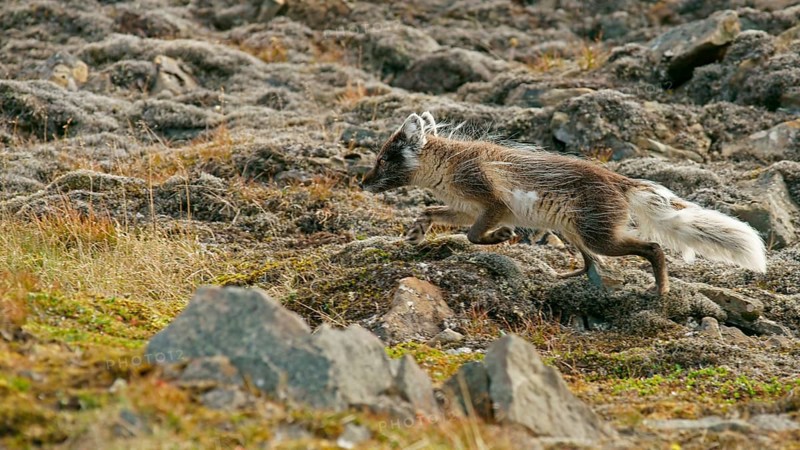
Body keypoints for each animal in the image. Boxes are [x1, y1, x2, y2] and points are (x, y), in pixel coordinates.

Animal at [360, 112, 767, 296]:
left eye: (383, 159)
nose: (361, 182)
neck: (448, 165)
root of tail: (620, 181)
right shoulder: (466, 206)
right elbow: (432, 211)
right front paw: (416, 231)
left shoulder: (491, 201)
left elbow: (476, 235)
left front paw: (500, 237)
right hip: (574, 232)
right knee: (591, 263)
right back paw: (564, 277)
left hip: (599, 234)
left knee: (651, 247)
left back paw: (660, 290)